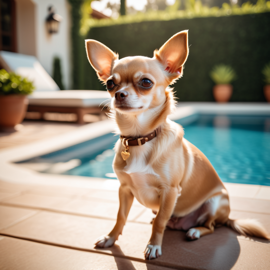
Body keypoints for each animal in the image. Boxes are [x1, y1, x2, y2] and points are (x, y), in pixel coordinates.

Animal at [85, 31, 270, 260]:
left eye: (145, 82)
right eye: (110, 84)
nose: (119, 94)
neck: (141, 137)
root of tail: (227, 217)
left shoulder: (170, 192)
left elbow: (160, 223)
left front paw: (153, 246)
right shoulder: (125, 189)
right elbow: (121, 216)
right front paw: (110, 238)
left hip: (215, 203)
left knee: (209, 226)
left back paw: (194, 231)